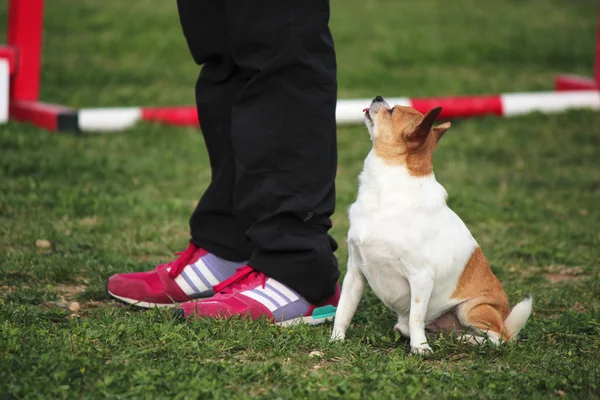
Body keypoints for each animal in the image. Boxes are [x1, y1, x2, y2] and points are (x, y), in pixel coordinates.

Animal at [330, 97, 532, 354]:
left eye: (392, 111)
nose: (377, 98)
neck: (385, 194)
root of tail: (505, 321)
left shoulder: (421, 277)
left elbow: (416, 316)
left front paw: (420, 348)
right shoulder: (355, 272)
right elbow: (344, 310)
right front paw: (335, 340)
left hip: (470, 309)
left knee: (496, 339)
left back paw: (466, 340)